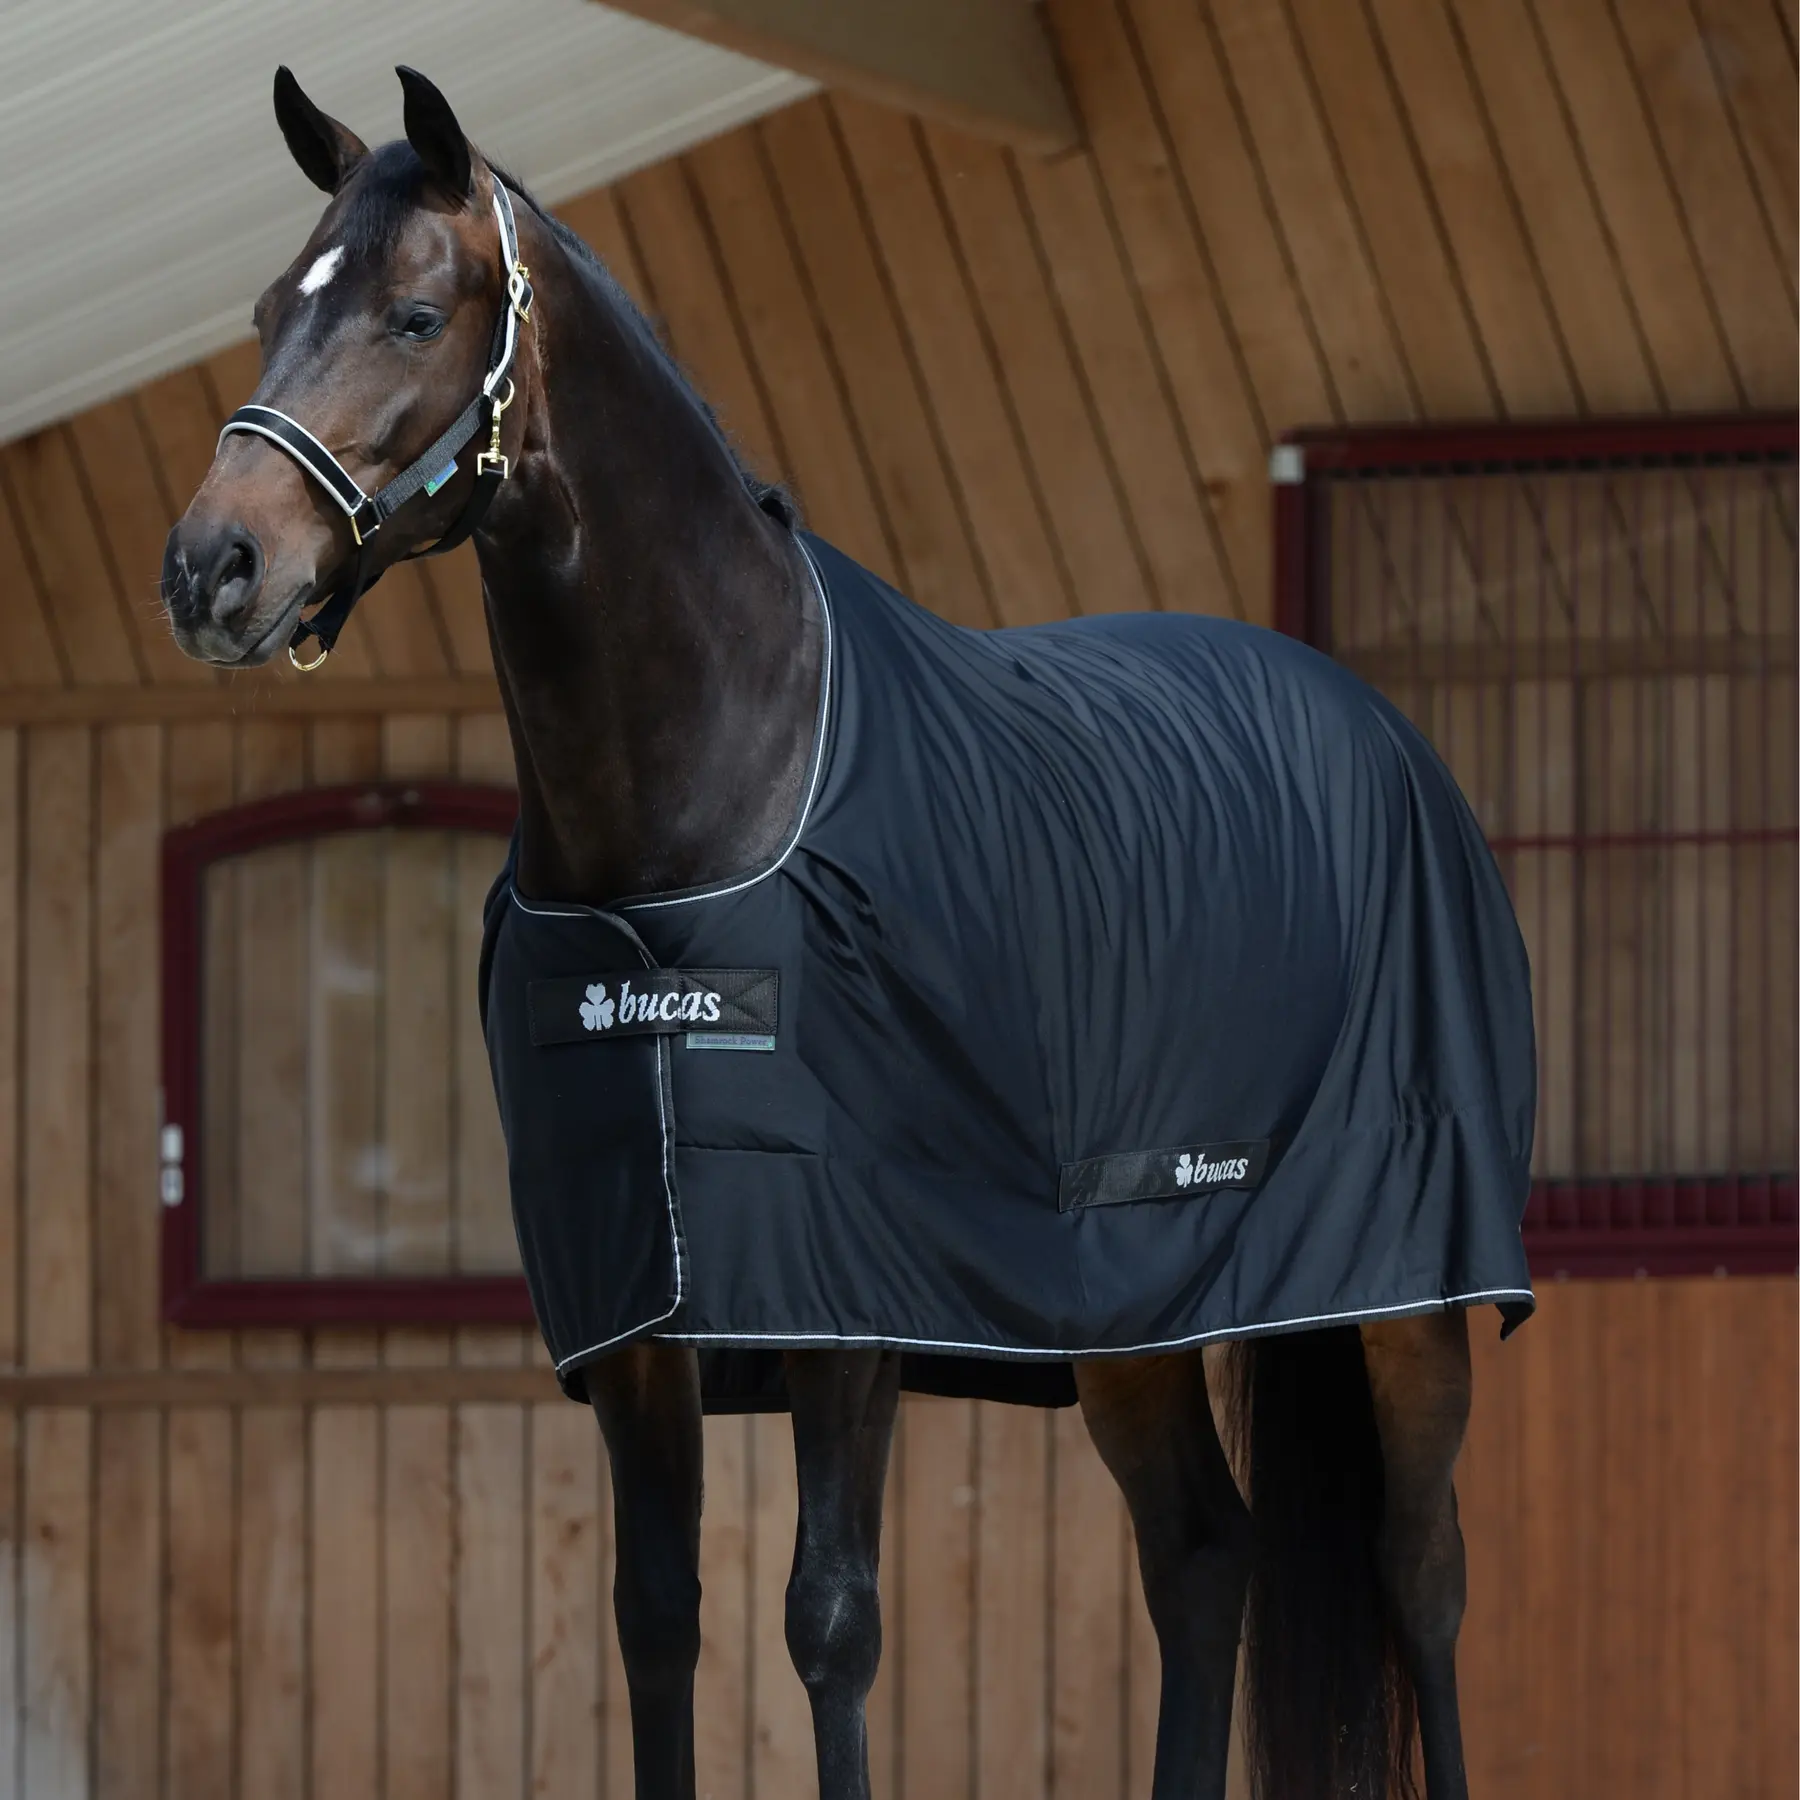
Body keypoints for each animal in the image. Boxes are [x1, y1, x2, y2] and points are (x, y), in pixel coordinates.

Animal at [160, 68, 1536, 1800]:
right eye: (274, 307)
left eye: (414, 313)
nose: (211, 568)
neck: (701, 807)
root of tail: (1377, 732)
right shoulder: (641, 1306)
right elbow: (656, 1625)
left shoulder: (847, 1295)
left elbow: (830, 1623)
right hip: (1135, 1308)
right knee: (1202, 1557)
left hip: (1407, 1293)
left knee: (1423, 1576)